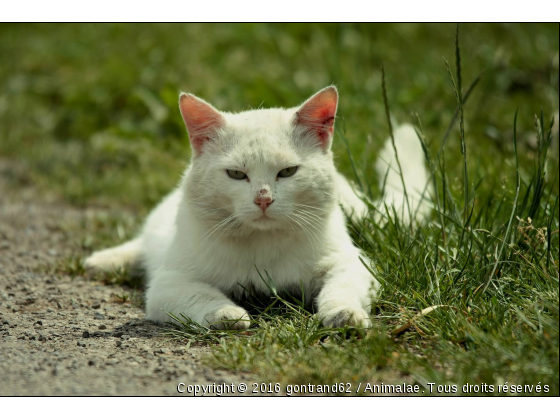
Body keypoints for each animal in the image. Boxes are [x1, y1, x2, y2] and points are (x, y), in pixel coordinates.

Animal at [86, 86, 428, 328]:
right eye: (237, 174)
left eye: (287, 172)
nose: (263, 199)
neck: (263, 245)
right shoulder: (169, 283)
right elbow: (203, 295)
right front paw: (228, 314)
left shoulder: (352, 263)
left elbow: (341, 289)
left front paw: (345, 315)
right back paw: (103, 261)